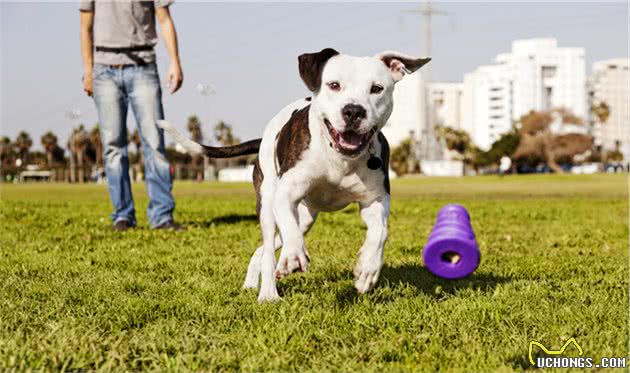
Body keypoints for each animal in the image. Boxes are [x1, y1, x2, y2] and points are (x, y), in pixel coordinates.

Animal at [160, 48, 432, 300]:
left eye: (376, 88)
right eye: (334, 85)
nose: (354, 111)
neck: (339, 157)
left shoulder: (375, 201)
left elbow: (380, 233)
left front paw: (368, 269)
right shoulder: (285, 194)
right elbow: (290, 234)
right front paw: (293, 256)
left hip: (306, 217)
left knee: (263, 249)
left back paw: (254, 281)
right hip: (268, 204)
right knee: (271, 245)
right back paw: (268, 292)